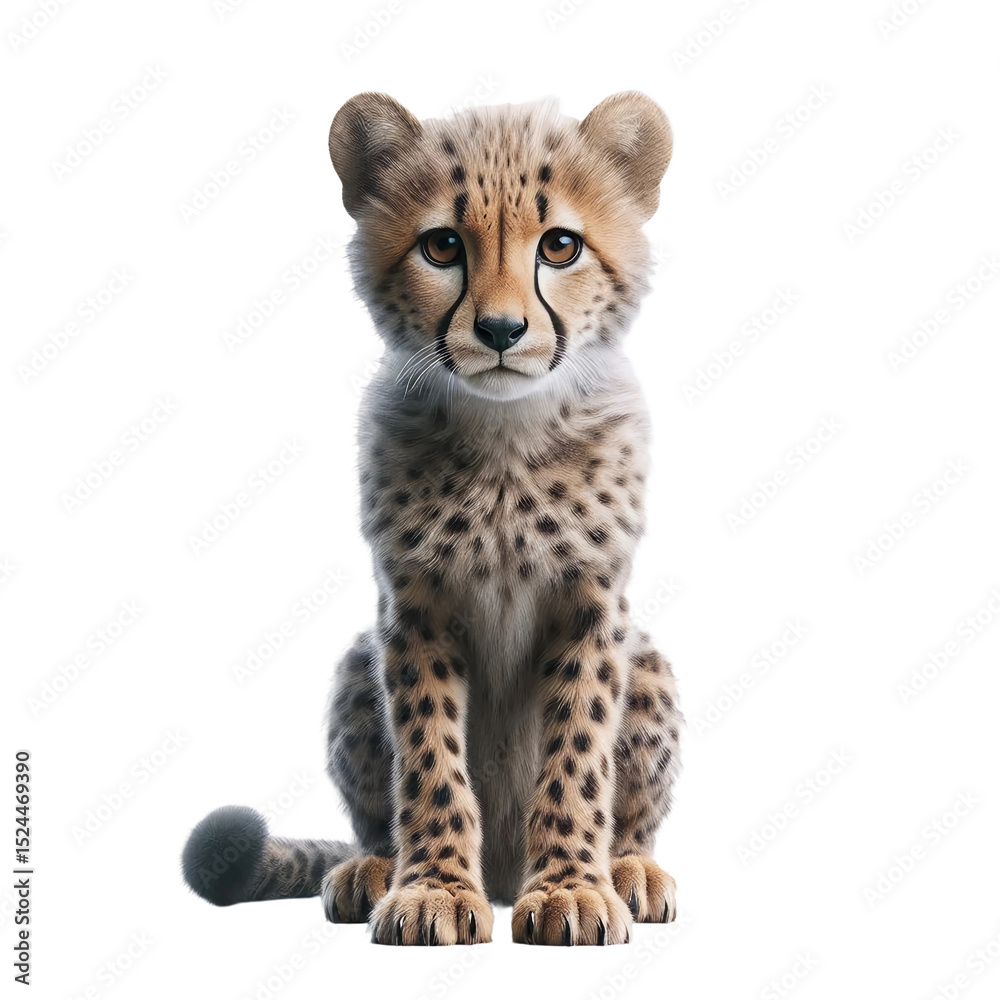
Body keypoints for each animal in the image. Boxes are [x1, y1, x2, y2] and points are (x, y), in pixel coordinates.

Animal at [182, 90, 683, 947]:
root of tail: (505, 877)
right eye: (443, 245)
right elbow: (427, 756)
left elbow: (579, 752)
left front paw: (572, 888)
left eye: (560, 245)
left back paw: (628, 870)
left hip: (647, 661)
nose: (502, 331)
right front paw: (434, 890)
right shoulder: (414, 602)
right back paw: (372, 869)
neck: (507, 438)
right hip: (357, 666)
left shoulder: (592, 599)